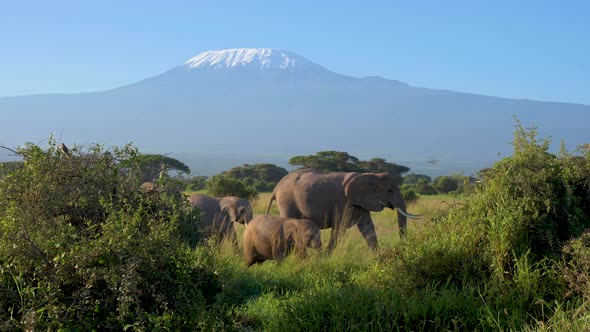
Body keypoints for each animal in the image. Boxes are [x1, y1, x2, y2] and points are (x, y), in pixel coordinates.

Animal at [268, 170, 420, 250]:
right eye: (389, 190)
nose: (402, 248)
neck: (369, 176)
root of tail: (276, 187)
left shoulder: (360, 203)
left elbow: (368, 228)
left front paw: (380, 260)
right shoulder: (344, 202)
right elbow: (339, 227)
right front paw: (324, 259)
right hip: (287, 201)